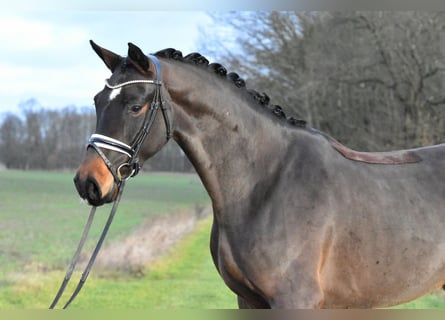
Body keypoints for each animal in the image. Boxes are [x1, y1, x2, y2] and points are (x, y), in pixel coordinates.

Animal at [73, 41, 444, 308]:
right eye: (97, 100)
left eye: (136, 106)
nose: (88, 182)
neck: (265, 183)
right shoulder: (248, 300)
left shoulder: (294, 300)